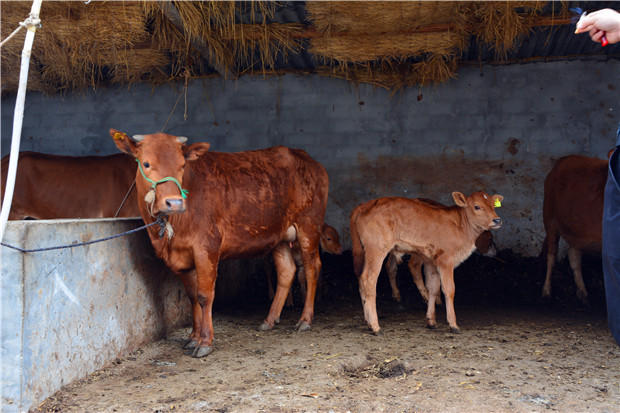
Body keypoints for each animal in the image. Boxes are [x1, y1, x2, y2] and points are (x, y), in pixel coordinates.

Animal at [110, 130, 330, 358]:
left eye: (182, 165)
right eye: (145, 163)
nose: (175, 202)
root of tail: (305, 157)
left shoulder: (206, 248)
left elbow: (204, 296)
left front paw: (205, 341)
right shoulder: (182, 257)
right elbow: (192, 297)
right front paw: (193, 337)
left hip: (309, 226)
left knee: (312, 268)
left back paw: (305, 319)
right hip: (279, 234)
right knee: (287, 271)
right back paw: (269, 320)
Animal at [348, 192, 504, 334]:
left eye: (493, 205)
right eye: (477, 206)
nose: (497, 220)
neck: (460, 225)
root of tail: (364, 205)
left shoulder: (431, 261)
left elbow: (433, 288)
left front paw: (431, 321)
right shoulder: (446, 259)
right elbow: (449, 290)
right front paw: (453, 324)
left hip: (364, 251)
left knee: (361, 279)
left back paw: (368, 322)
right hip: (377, 249)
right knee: (368, 280)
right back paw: (375, 326)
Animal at [540, 154, 608, 302]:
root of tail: (562, 160)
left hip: (576, 230)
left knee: (573, 254)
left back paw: (582, 291)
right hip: (550, 218)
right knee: (552, 254)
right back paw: (546, 290)